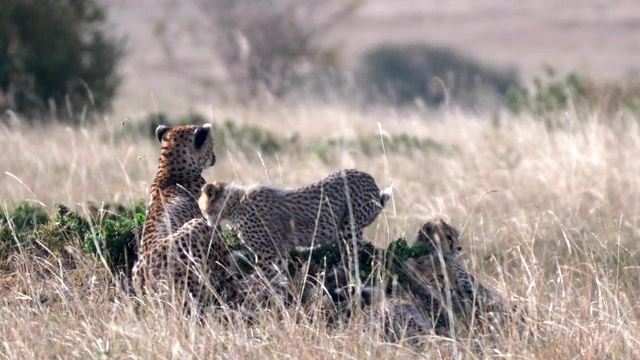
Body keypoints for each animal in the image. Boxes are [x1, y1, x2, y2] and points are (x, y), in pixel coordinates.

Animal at [199, 169, 390, 284]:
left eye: (201, 207)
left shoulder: (270, 253)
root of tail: (369, 178)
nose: (207, 222)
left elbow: (259, 277)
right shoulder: (279, 252)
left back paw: (351, 281)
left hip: (350, 226)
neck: (235, 204)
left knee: (354, 256)